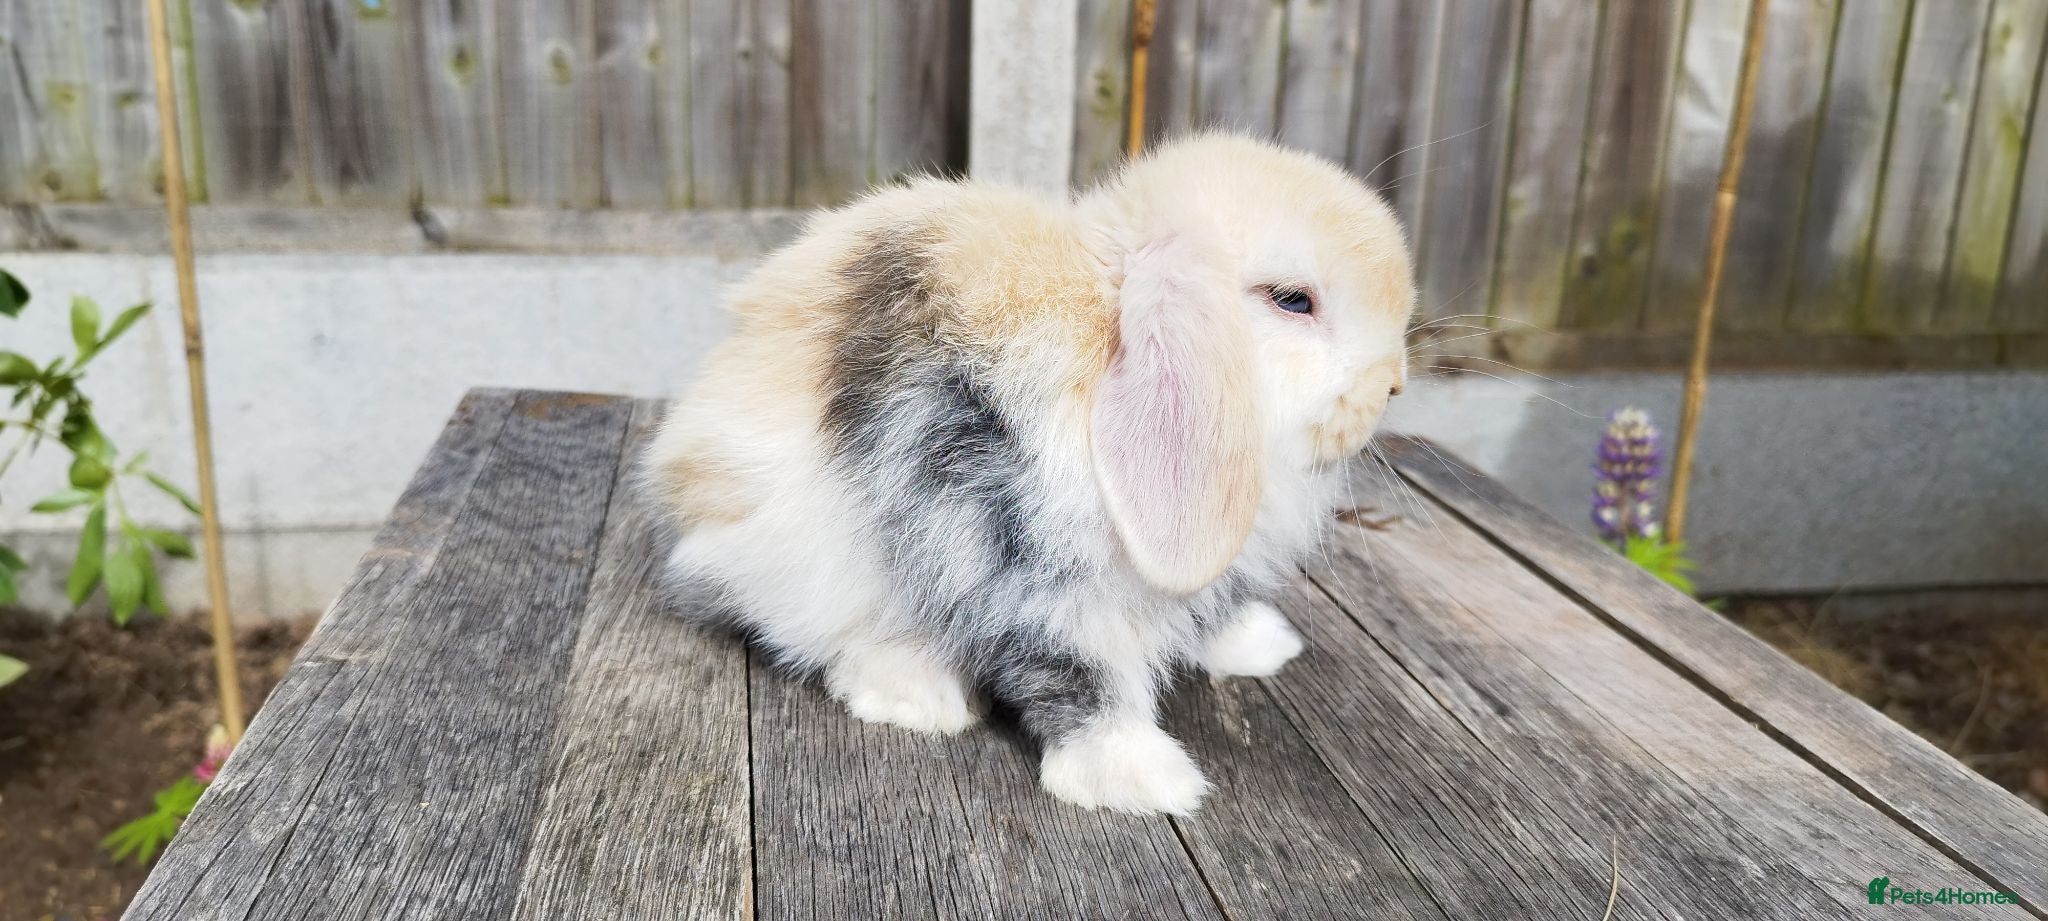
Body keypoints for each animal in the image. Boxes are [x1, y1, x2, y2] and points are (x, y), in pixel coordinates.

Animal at [643, 133, 1414, 816]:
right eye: (1293, 300)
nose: (1392, 386)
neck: (1103, 328)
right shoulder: (1008, 549)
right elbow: (1077, 670)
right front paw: (1143, 778)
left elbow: (1210, 607)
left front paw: (1260, 643)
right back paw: (916, 692)